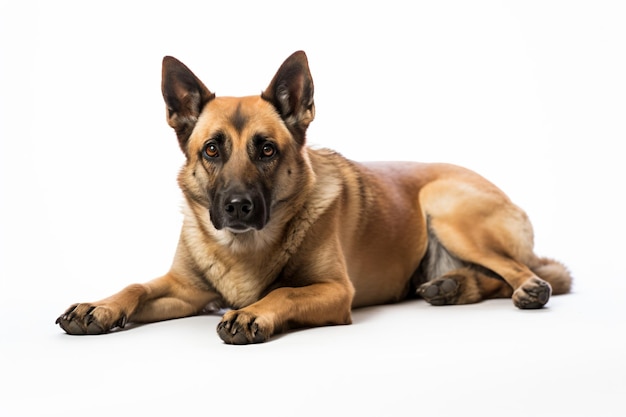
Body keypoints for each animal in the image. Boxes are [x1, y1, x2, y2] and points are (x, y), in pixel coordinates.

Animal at [57, 50, 572, 342]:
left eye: (266, 149)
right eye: (211, 149)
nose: (238, 206)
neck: (242, 249)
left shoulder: (334, 291)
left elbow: (284, 290)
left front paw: (253, 313)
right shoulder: (185, 291)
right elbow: (137, 286)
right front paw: (98, 306)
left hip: (448, 209)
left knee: (524, 272)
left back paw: (524, 289)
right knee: (495, 276)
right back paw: (450, 287)